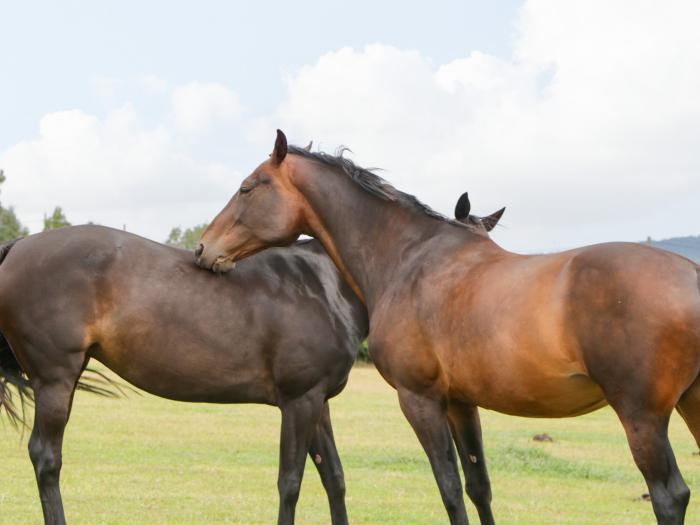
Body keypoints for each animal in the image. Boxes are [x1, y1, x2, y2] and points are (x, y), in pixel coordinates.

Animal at [0, 227, 370, 524]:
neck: (321, 283)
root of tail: (19, 246)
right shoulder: (299, 400)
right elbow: (291, 483)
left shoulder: (317, 401)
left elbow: (334, 477)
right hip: (55, 380)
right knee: (46, 458)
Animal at [196, 131, 700, 524]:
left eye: (247, 188)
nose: (204, 249)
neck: (407, 257)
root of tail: (691, 273)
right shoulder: (461, 403)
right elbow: (478, 486)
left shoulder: (419, 400)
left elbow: (449, 488)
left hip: (641, 417)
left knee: (669, 495)